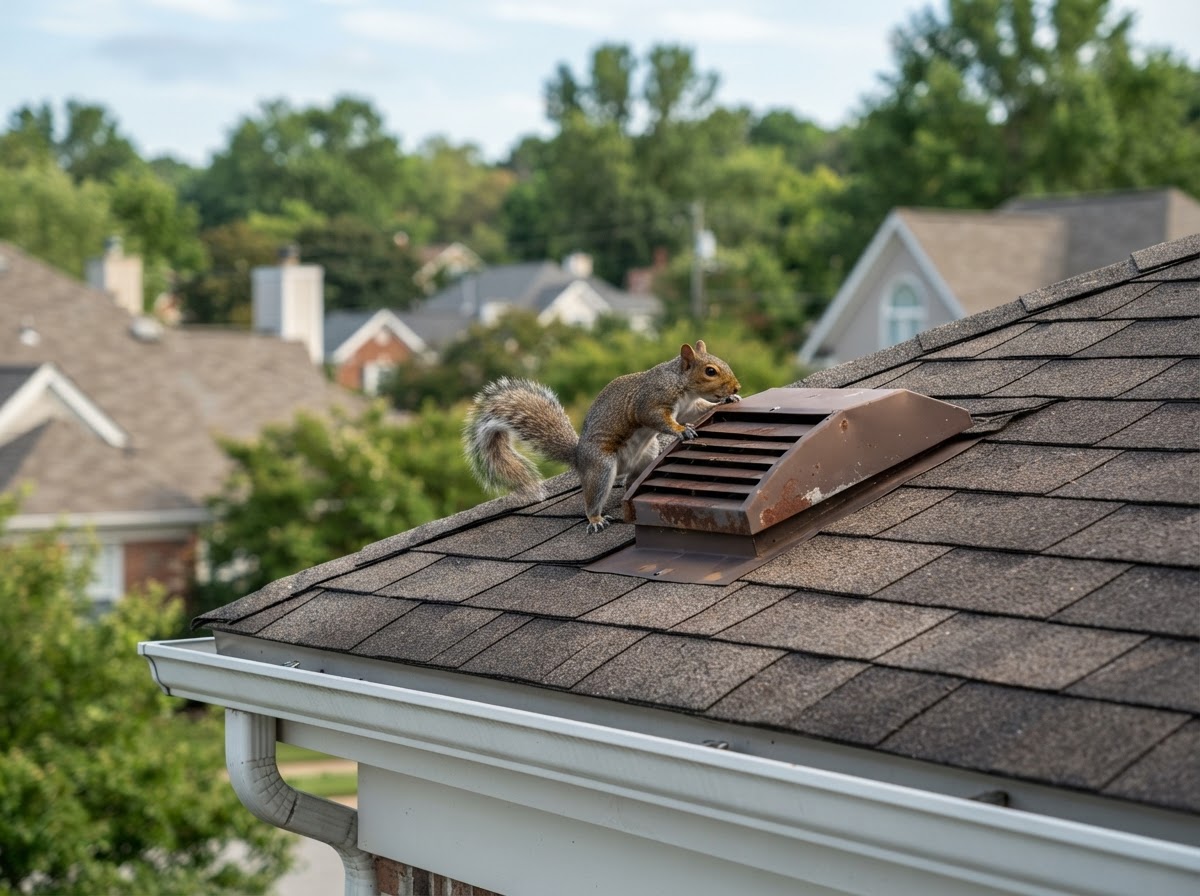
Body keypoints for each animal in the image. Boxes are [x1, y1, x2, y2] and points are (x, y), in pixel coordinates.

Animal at [464, 341, 741, 533]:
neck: (680, 383)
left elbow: (700, 409)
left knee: (630, 482)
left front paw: (729, 400)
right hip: (601, 465)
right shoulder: (650, 403)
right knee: (593, 498)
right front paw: (681, 431)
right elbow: (658, 420)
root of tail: (578, 458)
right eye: (710, 371)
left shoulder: (687, 407)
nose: (736, 386)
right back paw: (595, 518)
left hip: (646, 455)